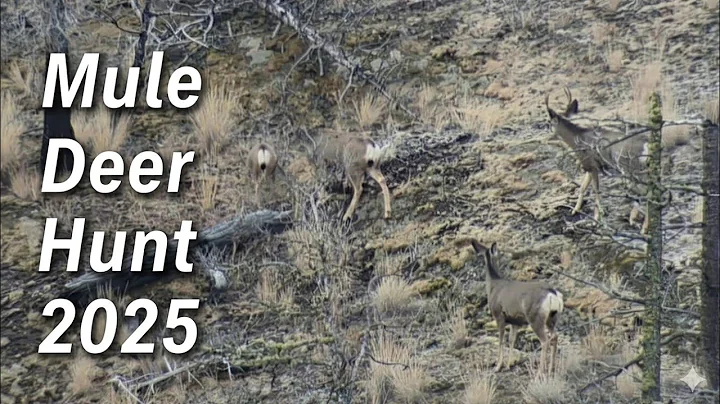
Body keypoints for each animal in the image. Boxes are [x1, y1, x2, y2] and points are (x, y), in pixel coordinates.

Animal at [469, 240, 564, 374]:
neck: (493, 286)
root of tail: (553, 293)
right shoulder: (515, 322)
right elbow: (511, 340)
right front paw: (508, 365)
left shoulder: (499, 316)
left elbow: (501, 340)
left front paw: (498, 366)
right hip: (552, 317)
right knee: (555, 336)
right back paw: (551, 369)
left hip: (535, 318)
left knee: (545, 341)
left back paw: (540, 372)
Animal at [545, 86, 650, 234]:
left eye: (548, 122)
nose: (546, 131)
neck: (578, 139)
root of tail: (645, 145)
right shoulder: (588, 167)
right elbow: (583, 187)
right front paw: (575, 211)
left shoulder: (592, 165)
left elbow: (595, 190)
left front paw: (596, 219)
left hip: (630, 167)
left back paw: (643, 228)